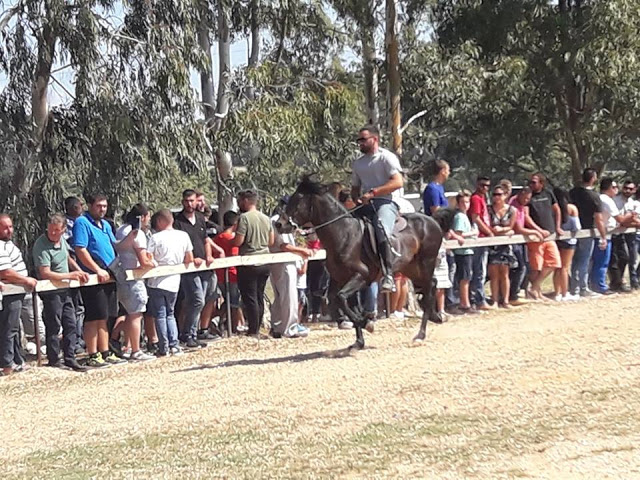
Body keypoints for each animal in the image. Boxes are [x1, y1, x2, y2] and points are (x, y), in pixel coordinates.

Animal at [278, 176, 452, 348]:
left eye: (297, 201)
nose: (278, 224)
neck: (344, 235)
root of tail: (432, 220)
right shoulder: (338, 279)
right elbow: (339, 301)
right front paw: (359, 340)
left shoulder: (361, 275)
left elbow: (342, 298)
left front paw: (365, 323)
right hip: (410, 267)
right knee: (432, 283)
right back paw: (435, 316)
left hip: (426, 262)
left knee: (429, 287)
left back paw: (421, 334)